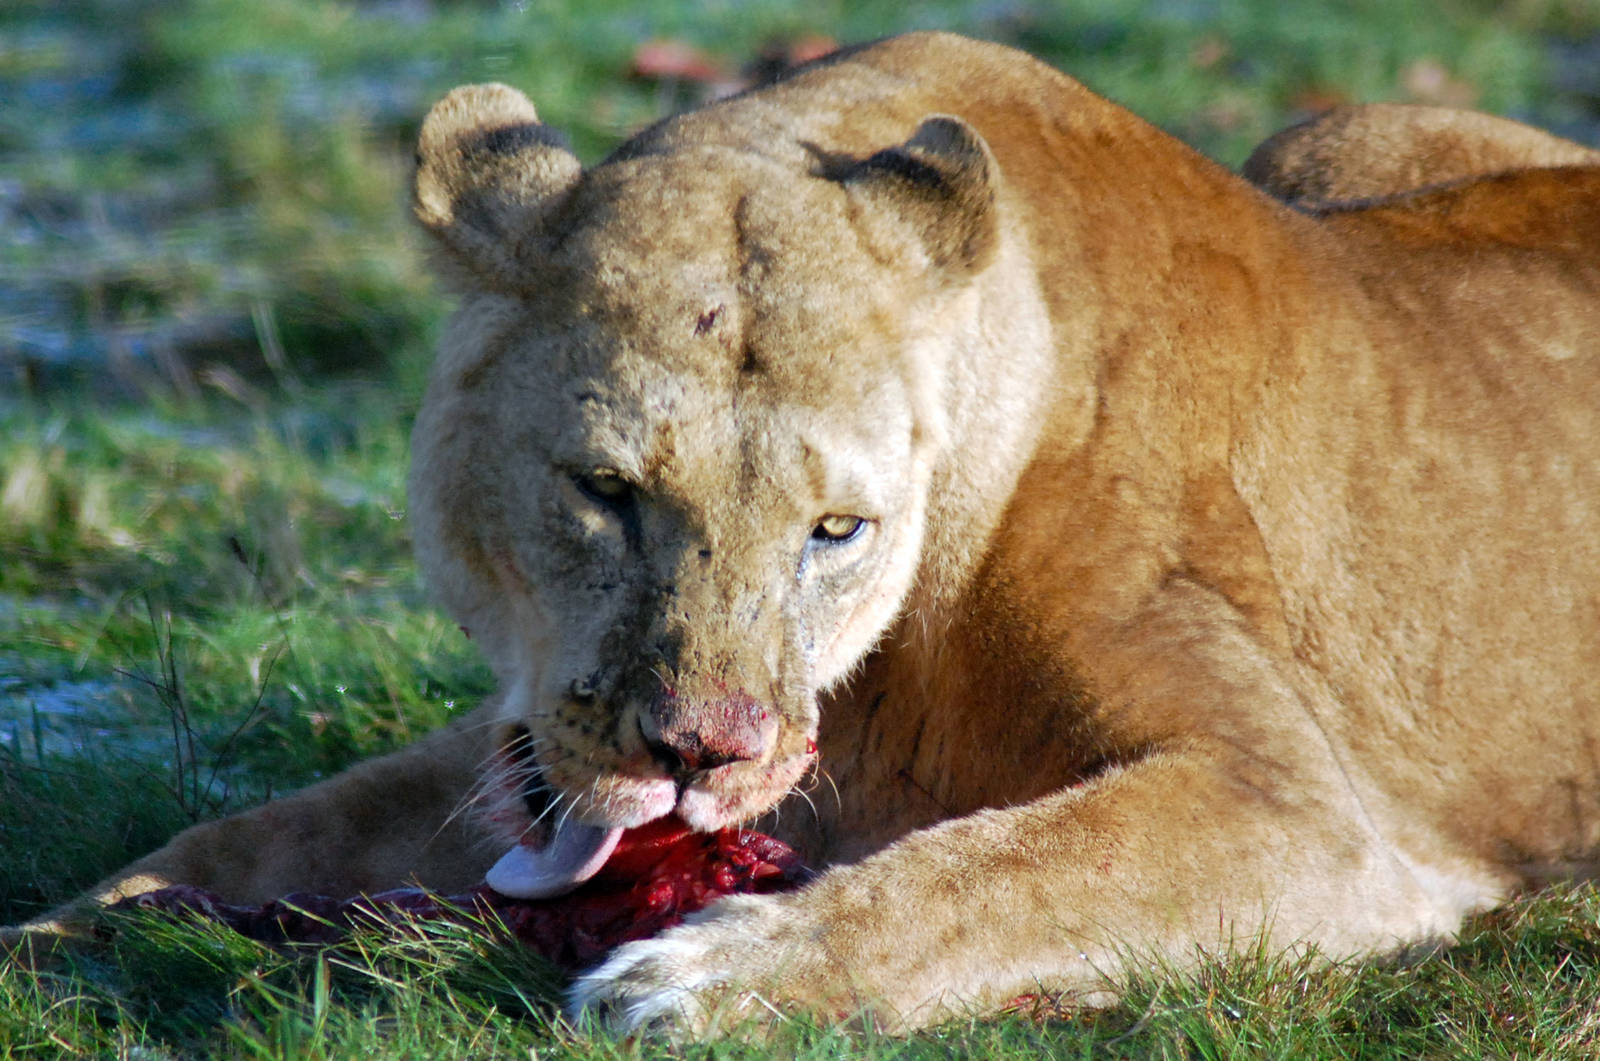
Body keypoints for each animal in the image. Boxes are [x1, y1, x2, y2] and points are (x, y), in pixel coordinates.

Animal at [7, 32, 1600, 1035]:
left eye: (837, 526)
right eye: (603, 489)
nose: (698, 756)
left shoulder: (1307, 811)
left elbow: (1005, 869)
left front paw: (693, 981)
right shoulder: (528, 744)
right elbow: (283, 820)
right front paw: (71, 932)